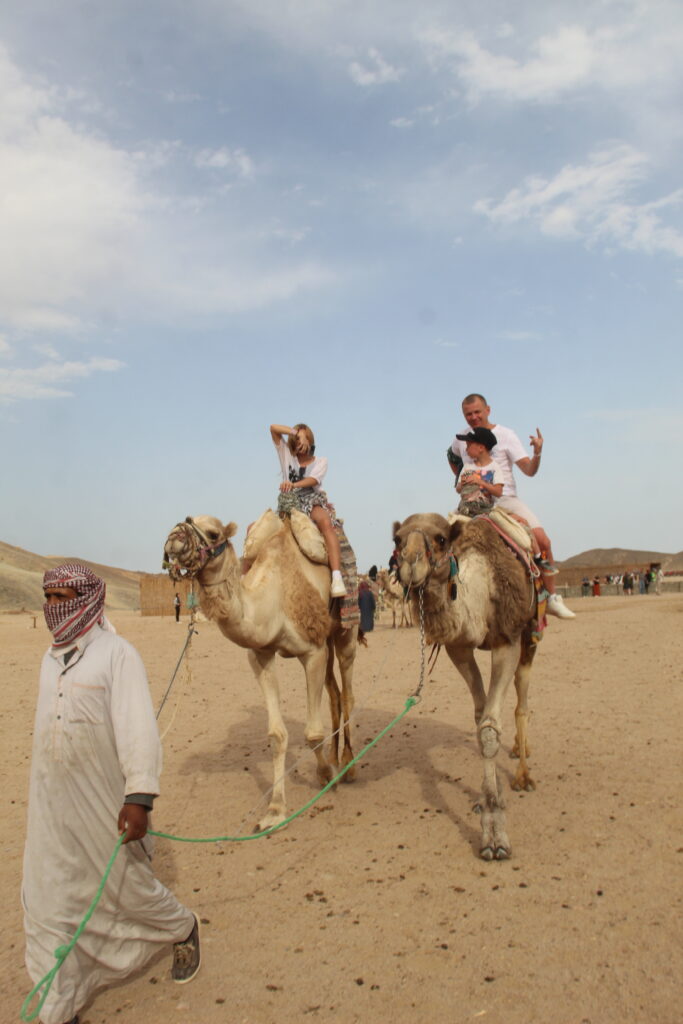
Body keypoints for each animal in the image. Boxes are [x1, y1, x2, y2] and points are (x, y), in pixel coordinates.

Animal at [163, 512, 360, 831]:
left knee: (347, 694)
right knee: (334, 694)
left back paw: (348, 766)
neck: (271, 601)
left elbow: (312, 732)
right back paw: (334, 757)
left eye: (213, 533)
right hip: (327, 638)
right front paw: (275, 810)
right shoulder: (261, 655)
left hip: (345, 634)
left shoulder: (312, 652)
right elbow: (277, 735)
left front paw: (327, 777)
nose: (174, 536)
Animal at [393, 509, 540, 856]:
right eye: (397, 539)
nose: (410, 563)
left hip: (529, 633)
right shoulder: (457, 648)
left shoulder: (507, 640)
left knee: (522, 701)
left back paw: (523, 775)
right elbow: (480, 717)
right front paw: (490, 799)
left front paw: (495, 836)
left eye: (441, 538)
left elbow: (489, 728)